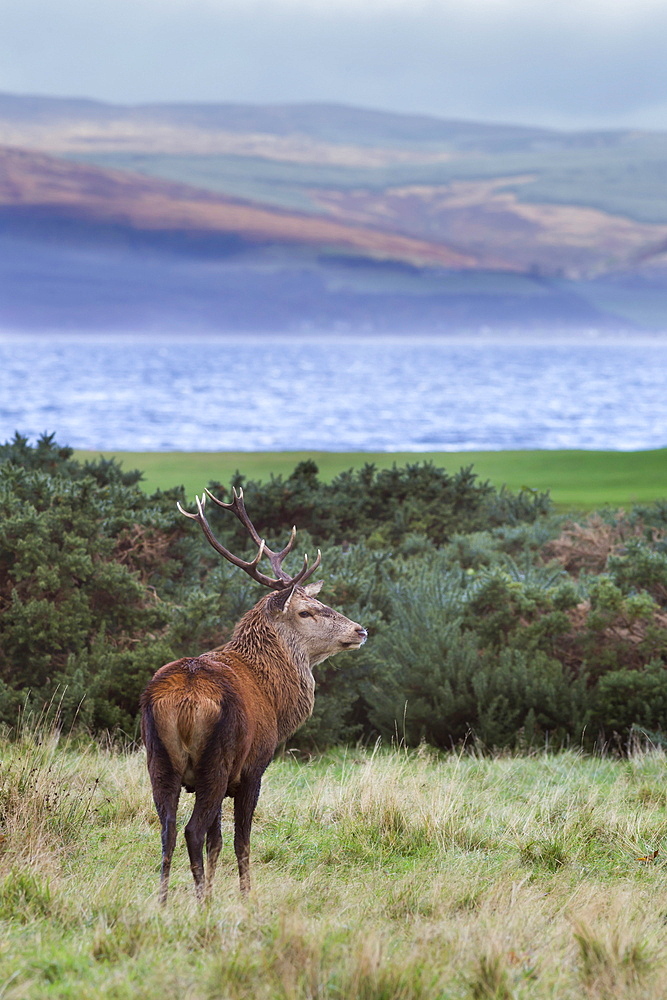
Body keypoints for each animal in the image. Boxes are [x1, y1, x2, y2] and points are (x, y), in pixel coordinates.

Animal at [140, 488, 366, 904]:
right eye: (307, 611)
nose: (360, 630)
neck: (276, 701)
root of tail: (183, 702)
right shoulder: (254, 768)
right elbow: (240, 841)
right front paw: (246, 899)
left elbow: (216, 842)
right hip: (217, 761)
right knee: (191, 831)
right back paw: (202, 904)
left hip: (158, 760)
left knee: (167, 830)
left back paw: (163, 903)